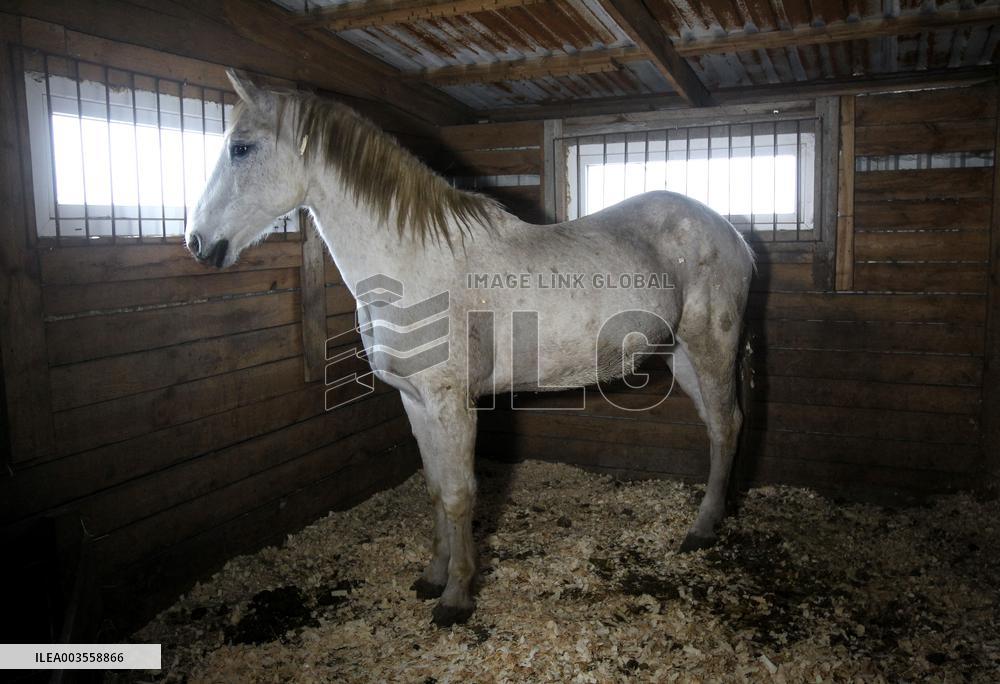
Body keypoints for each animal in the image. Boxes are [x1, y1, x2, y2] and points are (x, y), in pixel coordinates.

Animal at [185, 70, 755, 627]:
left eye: (240, 148)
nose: (198, 244)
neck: (413, 264)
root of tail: (731, 234)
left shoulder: (452, 403)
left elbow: (461, 494)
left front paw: (456, 597)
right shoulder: (414, 400)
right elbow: (437, 490)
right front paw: (432, 576)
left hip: (711, 346)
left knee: (726, 427)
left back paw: (701, 529)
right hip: (681, 355)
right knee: (718, 427)